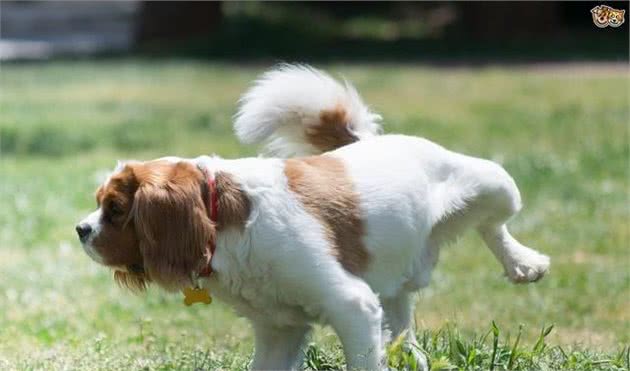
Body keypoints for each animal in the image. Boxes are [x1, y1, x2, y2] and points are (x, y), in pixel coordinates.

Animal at [76, 65, 552, 370]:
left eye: (115, 209)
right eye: (100, 203)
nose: (80, 229)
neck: (224, 221)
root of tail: (365, 141)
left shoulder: (352, 306)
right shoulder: (278, 330)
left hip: (495, 183)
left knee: (494, 224)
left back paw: (524, 263)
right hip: (394, 283)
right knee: (404, 330)